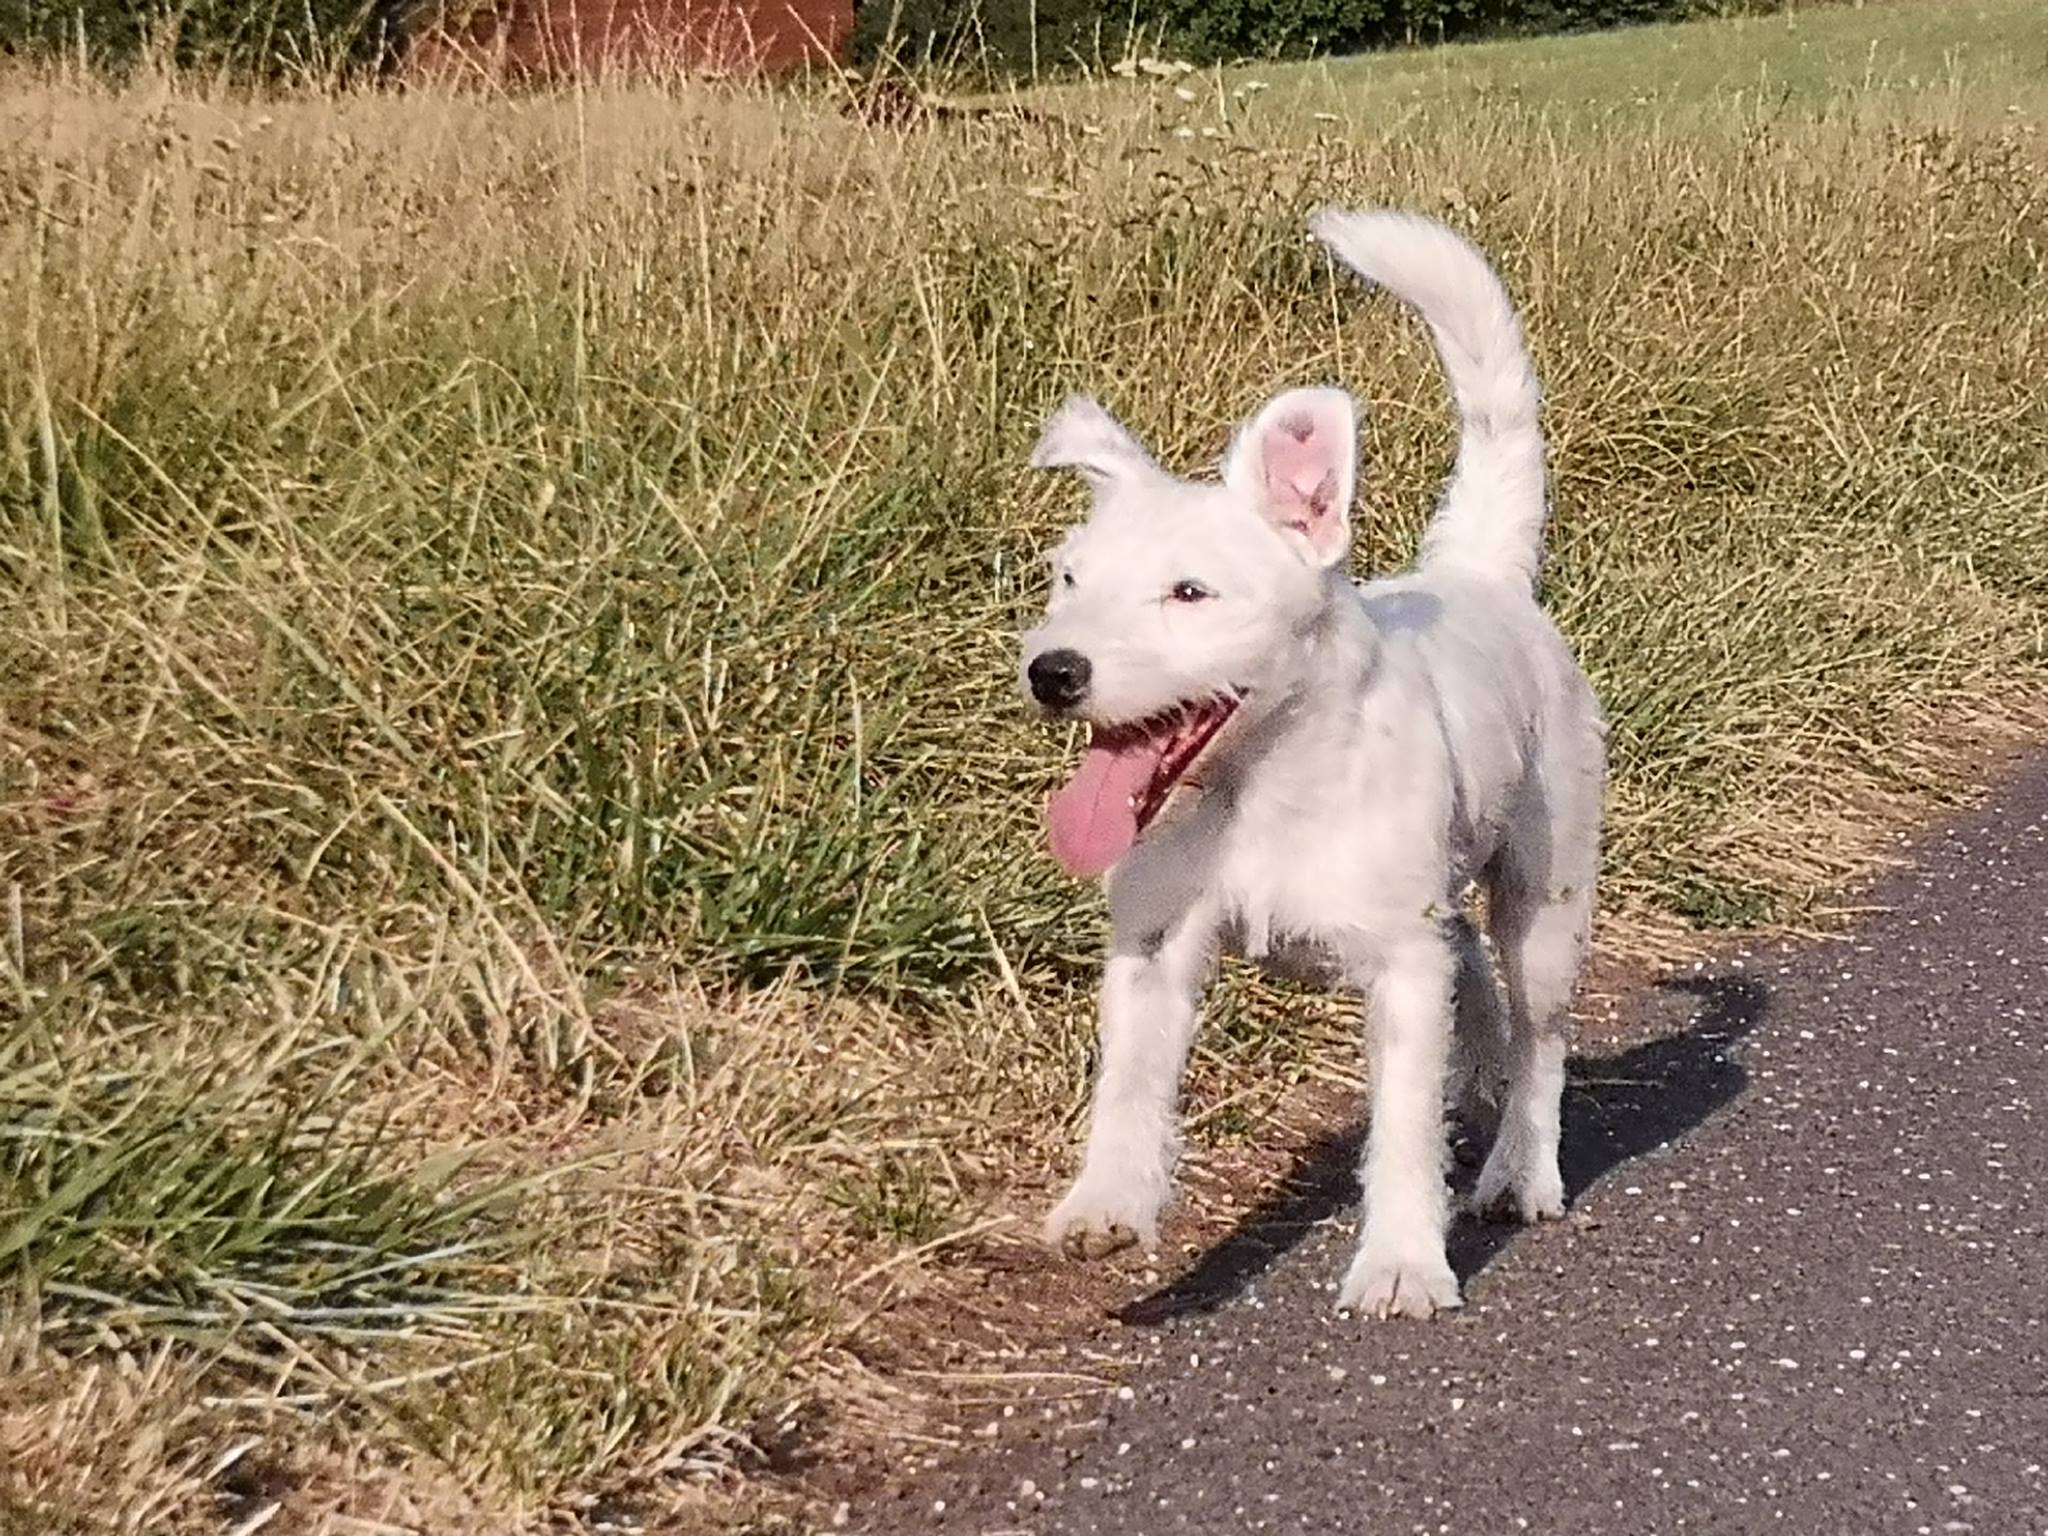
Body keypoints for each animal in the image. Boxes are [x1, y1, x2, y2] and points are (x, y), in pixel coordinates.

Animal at [1019, 207, 1597, 1327]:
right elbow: (1130, 1082)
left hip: (1544, 900)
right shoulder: (1154, 946)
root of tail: (1481, 573)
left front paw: (1403, 1263)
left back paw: (1519, 1168)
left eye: (1189, 593)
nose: (1053, 671)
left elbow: (1402, 1131)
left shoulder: (1402, 971)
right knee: (1472, 969)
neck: (1258, 790)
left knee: (1537, 1033)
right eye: (1067, 578)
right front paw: (1107, 1199)